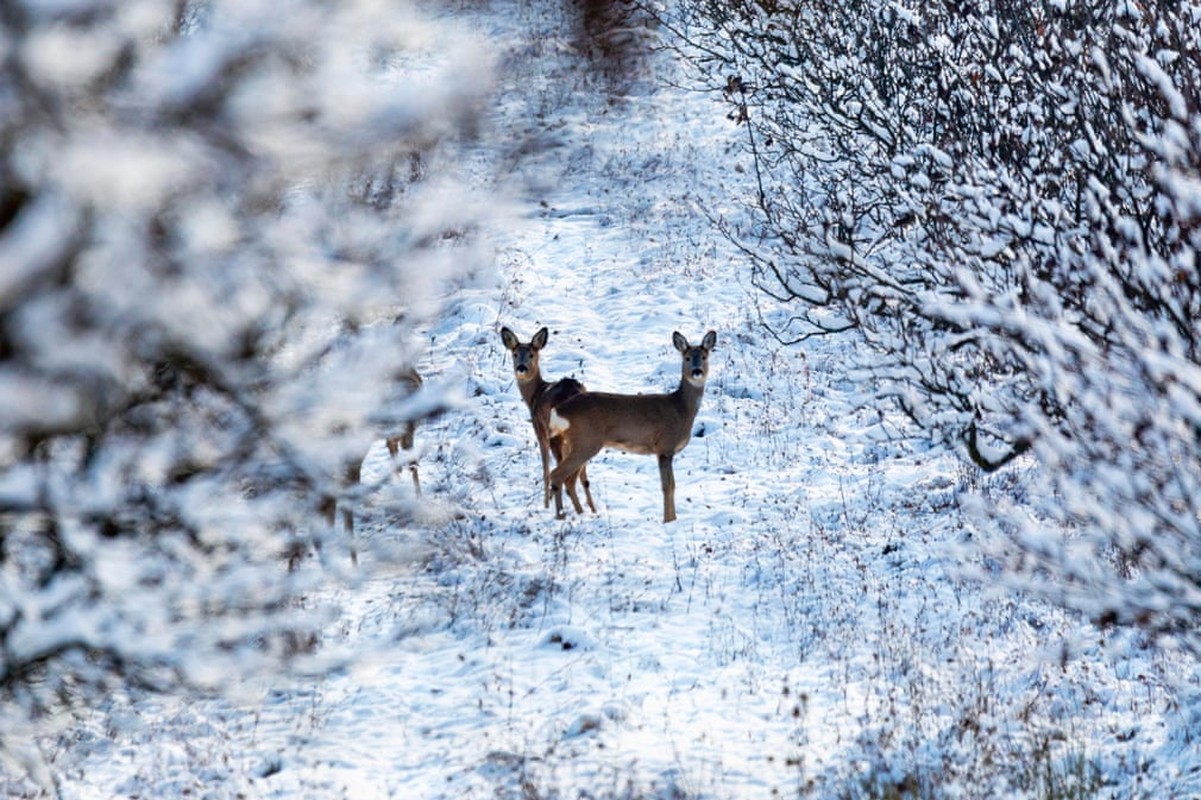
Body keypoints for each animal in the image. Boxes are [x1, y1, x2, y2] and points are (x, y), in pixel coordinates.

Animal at [497, 326, 595, 514]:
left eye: (531, 355)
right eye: (515, 354)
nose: (521, 368)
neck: (535, 395)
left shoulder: (540, 431)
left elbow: (545, 470)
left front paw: (546, 504)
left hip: (557, 434)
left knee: (562, 474)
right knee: (581, 475)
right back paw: (591, 511)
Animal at [550, 329, 715, 523]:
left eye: (704, 356)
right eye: (687, 358)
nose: (697, 371)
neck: (681, 409)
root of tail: (559, 410)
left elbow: (672, 485)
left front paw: (672, 519)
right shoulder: (664, 447)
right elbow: (668, 486)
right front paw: (668, 521)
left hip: (575, 443)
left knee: (569, 479)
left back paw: (580, 514)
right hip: (586, 442)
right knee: (557, 474)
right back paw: (561, 516)